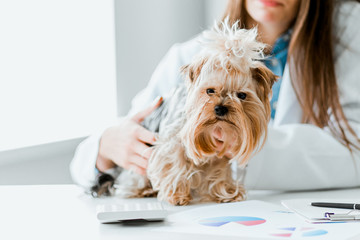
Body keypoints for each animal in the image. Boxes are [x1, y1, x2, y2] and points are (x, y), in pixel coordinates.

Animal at [116, 20, 278, 206]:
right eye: (210, 91)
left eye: (242, 95)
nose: (220, 108)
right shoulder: (171, 142)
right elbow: (175, 163)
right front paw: (177, 195)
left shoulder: (221, 153)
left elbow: (221, 170)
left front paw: (226, 192)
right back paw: (144, 190)